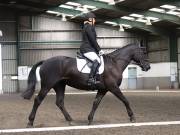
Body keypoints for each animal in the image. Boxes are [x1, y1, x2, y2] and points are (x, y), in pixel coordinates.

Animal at [21, 42, 150, 127]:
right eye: (143, 53)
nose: (148, 67)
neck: (115, 64)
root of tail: (45, 61)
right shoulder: (113, 87)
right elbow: (125, 100)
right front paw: (132, 117)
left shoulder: (103, 89)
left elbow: (96, 103)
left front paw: (90, 120)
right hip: (47, 85)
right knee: (38, 100)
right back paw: (30, 122)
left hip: (60, 85)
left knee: (60, 102)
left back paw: (70, 120)